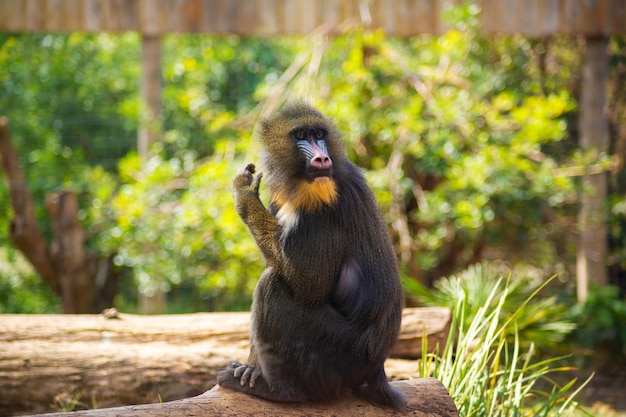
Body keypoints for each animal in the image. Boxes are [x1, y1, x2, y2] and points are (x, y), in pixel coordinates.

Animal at [217, 102, 404, 408]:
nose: (322, 158)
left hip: (337, 354)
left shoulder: (323, 199)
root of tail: (377, 370)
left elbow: (309, 285)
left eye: (319, 134)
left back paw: (279, 390)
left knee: (272, 285)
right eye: (301, 135)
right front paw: (250, 368)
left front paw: (243, 192)